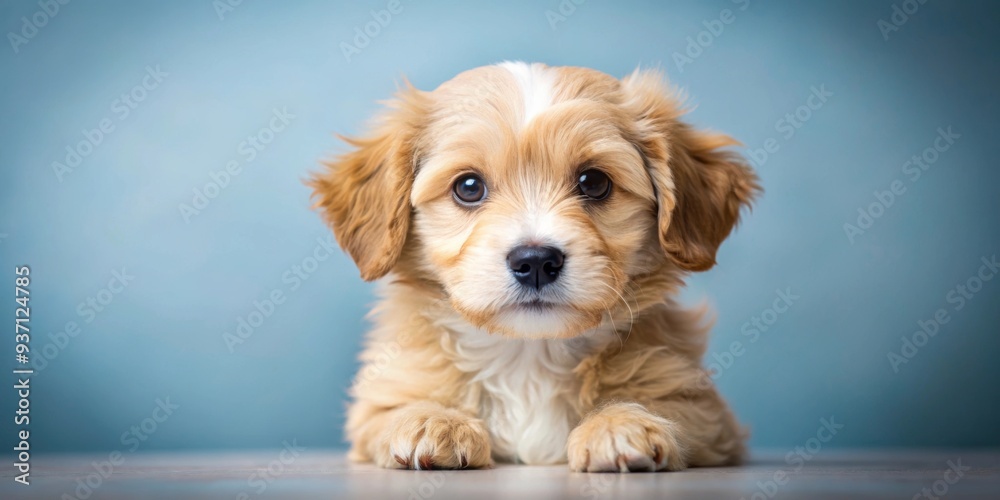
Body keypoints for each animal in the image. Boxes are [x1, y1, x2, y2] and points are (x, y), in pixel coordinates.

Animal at [310, 62, 756, 472]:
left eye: (594, 182)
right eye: (468, 187)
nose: (536, 261)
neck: (527, 355)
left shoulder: (707, 416)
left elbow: (670, 411)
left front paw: (619, 423)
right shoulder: (380, 400)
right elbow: (392, 412)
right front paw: (434, 421)